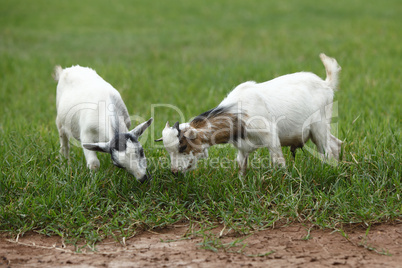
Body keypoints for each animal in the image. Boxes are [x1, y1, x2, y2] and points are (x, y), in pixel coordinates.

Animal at [157, 53, 342, 175]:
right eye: (169, 150)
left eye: (183, 146)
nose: (174, 171)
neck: (238, 114)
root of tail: (326, 84)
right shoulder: (242, 147)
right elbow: (241, 166)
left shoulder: (270, 136)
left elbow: (278, 161)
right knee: (336, 144)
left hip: (319, 127)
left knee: (327, 149)